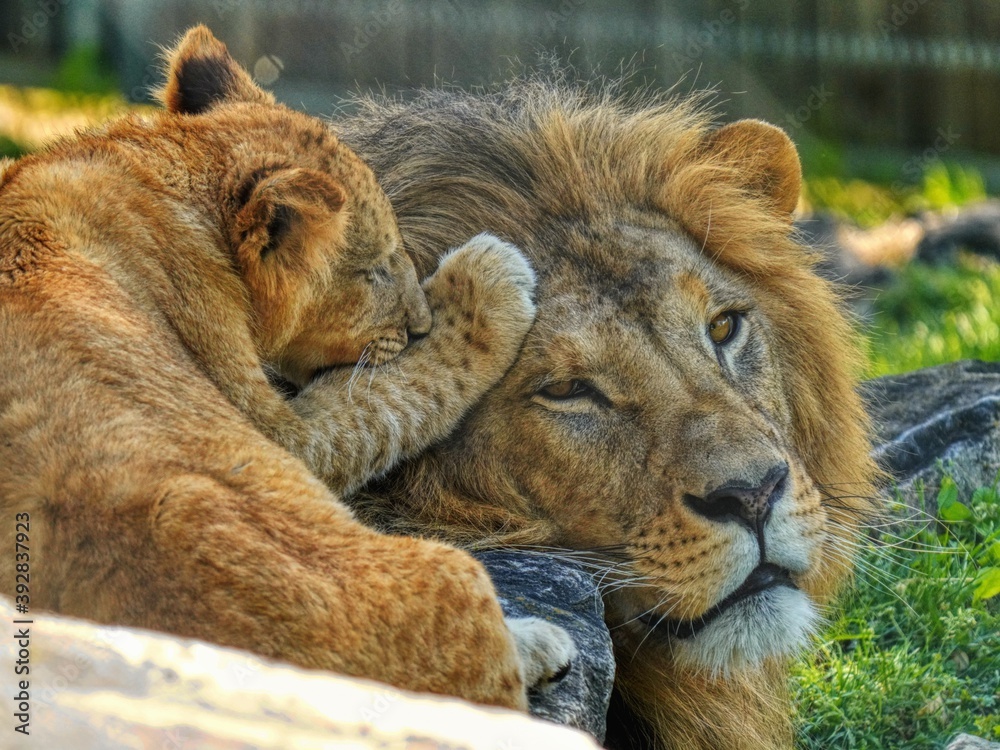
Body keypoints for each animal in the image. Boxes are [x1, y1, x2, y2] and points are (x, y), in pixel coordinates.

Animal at [0, 27, 574, 710]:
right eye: (375, 270)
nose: (418, 324)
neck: (157, 175)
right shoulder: (281, 434)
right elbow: (390, 396)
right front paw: (484, 287)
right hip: (443, 569)